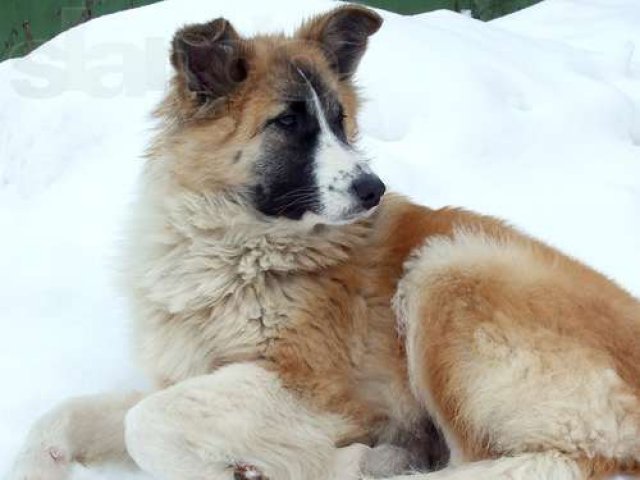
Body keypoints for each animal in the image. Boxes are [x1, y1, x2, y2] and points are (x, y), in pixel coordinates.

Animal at [7, 4, 640, 480]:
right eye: (289, 123)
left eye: (339, 121)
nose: (373, 189)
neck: (237, 247)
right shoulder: (193, 374)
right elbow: (72, 414)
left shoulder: (311, 385)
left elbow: (147, 423)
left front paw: (275, 466)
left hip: (447, 267)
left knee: (552, 460)